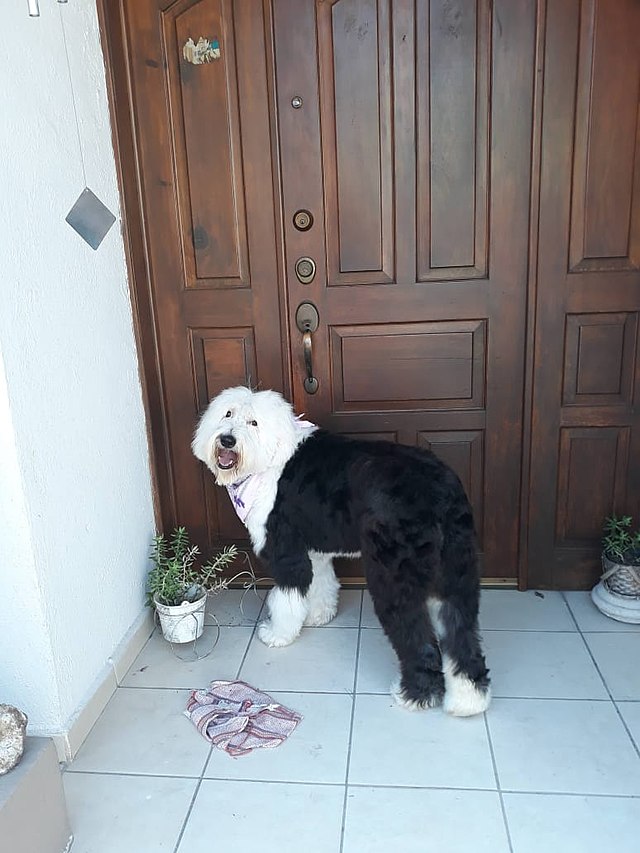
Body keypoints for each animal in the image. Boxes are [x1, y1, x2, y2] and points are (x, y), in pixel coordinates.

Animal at [190, 386, 490, 712]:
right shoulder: (313, 550)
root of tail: (441, 489)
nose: (227, 439)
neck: (272, 456)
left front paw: (279, 634)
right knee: (461, 633)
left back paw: (414, 695)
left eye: (253, 422)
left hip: (394, 577)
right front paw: (318, 615)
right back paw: (469, 700)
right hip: (457, 571)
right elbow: (321, 584)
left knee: (418, 637)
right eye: (227, 413)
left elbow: (286, 598)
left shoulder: (287, 552)